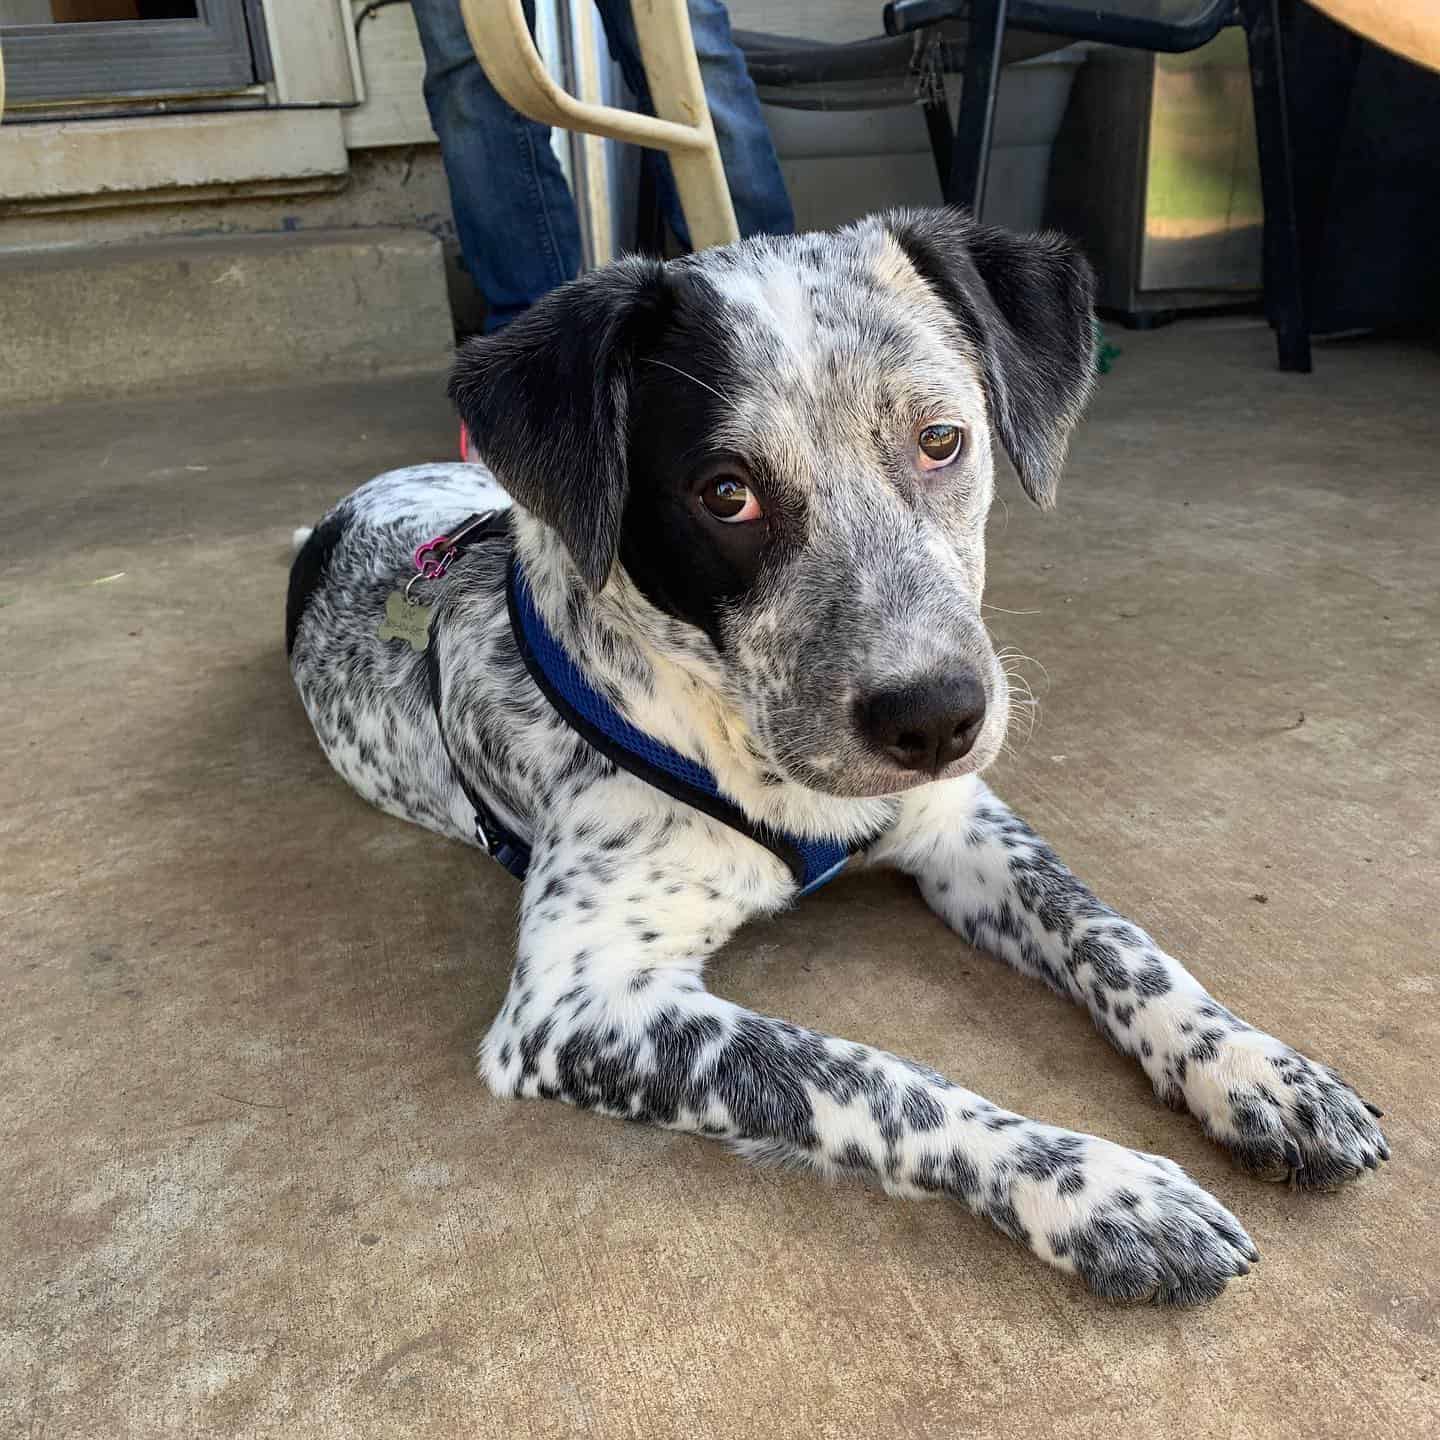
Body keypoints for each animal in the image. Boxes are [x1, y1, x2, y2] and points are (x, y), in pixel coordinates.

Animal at [289, 205, 1382, 1307]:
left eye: (942, 440)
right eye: (725, 494)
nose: (938, 719)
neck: (751, 749)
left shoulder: (964, 829)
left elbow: (1116, 938)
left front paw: (1256, 1070)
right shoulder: (573, 1003)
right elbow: (870, 1077)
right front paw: (1099, 1189)